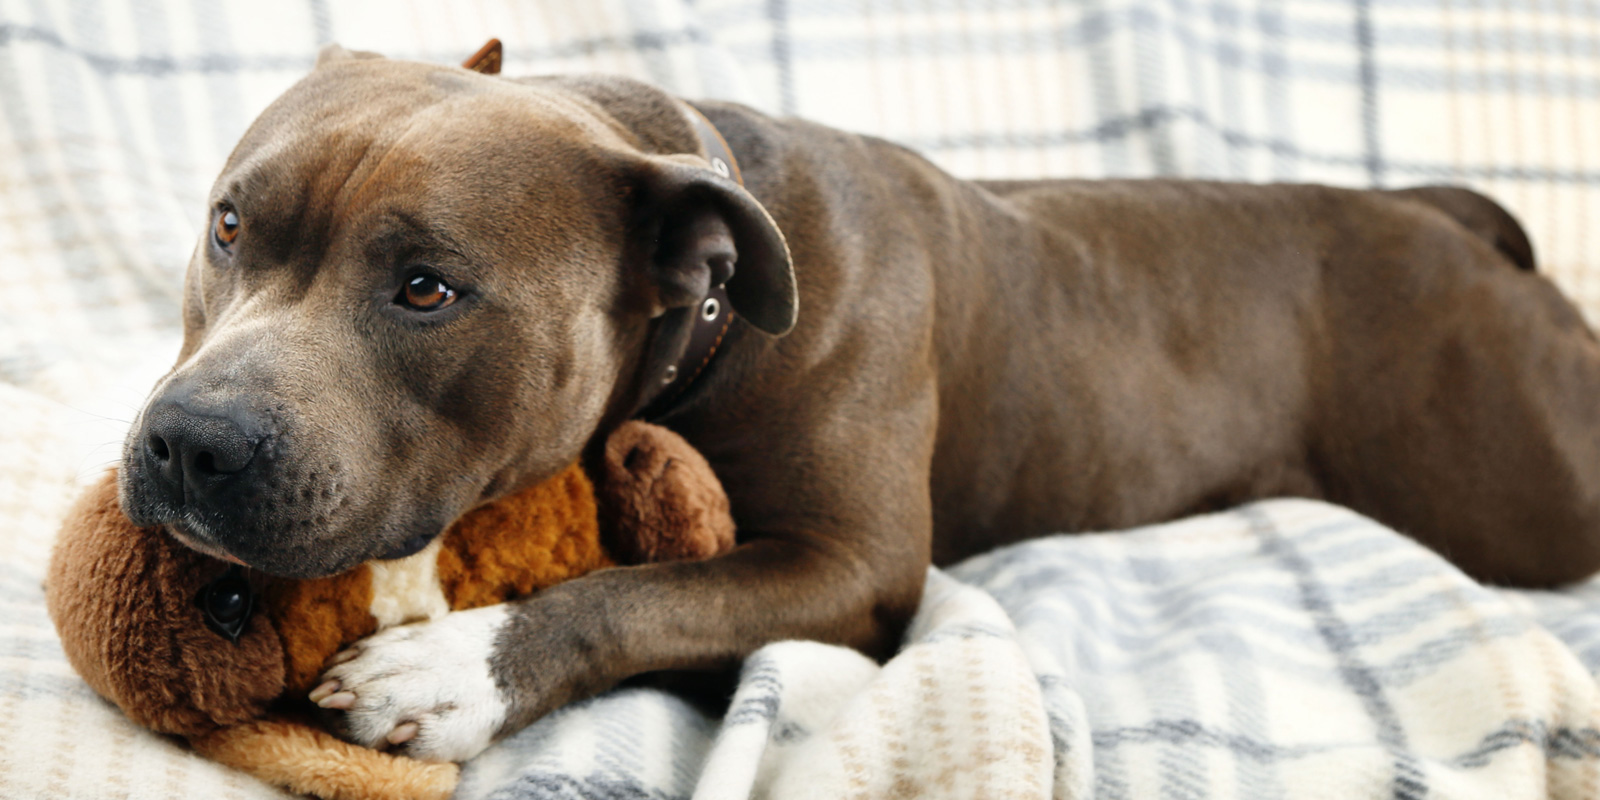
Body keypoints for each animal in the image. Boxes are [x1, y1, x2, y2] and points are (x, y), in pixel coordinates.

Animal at [118, 45, 1600, 761]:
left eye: (426, 289)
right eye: (231, 226)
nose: (189, 441)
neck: (705, 301)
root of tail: (1446, 221)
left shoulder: (857, 565)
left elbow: (640, 590)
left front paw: (455, 669)